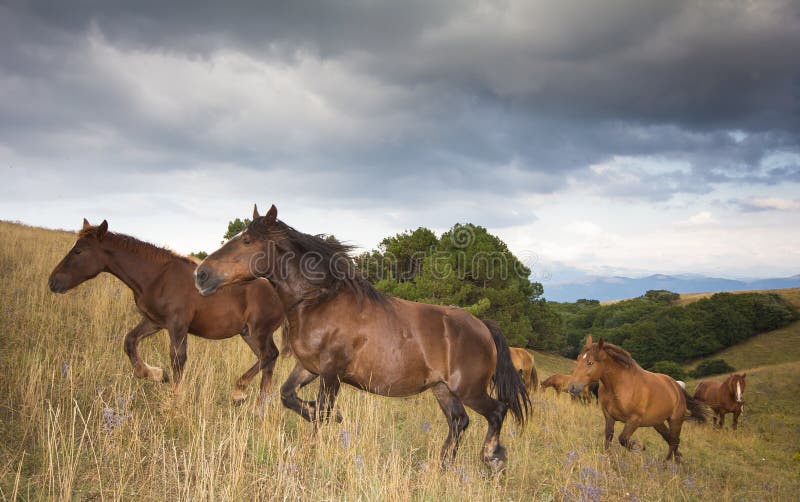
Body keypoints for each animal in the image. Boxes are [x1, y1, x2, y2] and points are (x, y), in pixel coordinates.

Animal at [47, 219, 284, 408]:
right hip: (248, 333)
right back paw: (259, 407)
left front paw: (175, 402)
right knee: (269, 360)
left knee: (269, 355)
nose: (53, 282)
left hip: (257, 331)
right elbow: (130, 342)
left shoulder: (177, 325)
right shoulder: (154, 321)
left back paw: (239, 393)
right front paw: (157, 375)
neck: (157, 277)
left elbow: (178, 360)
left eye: (78, 251)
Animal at [195, 203, 532, 470]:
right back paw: (442, 467)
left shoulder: (331, 374)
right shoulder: (309, 368)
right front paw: (328, 416)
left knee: (496, 412)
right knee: (459, 422)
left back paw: (492, 458)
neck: (319, 301)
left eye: (247, 240)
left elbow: (320, 415)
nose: (201, 275)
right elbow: (288, 396)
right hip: (443, 390)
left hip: (468, 389)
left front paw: (313, 448)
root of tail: (483, 326)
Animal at [564, 336, 708, 460]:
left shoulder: (634, 420)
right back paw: (677, 460)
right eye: (578, 358)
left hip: (675, 420)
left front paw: (638, 447)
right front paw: (609, 458)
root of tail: (677, 387)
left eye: (590, 362)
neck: (620, 386)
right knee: (671, 440)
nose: (572, 387)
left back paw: (666, 464)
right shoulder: (609, 416)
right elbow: (608, 437)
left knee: (673, 441)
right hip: (658, 423)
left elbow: (622, 439)